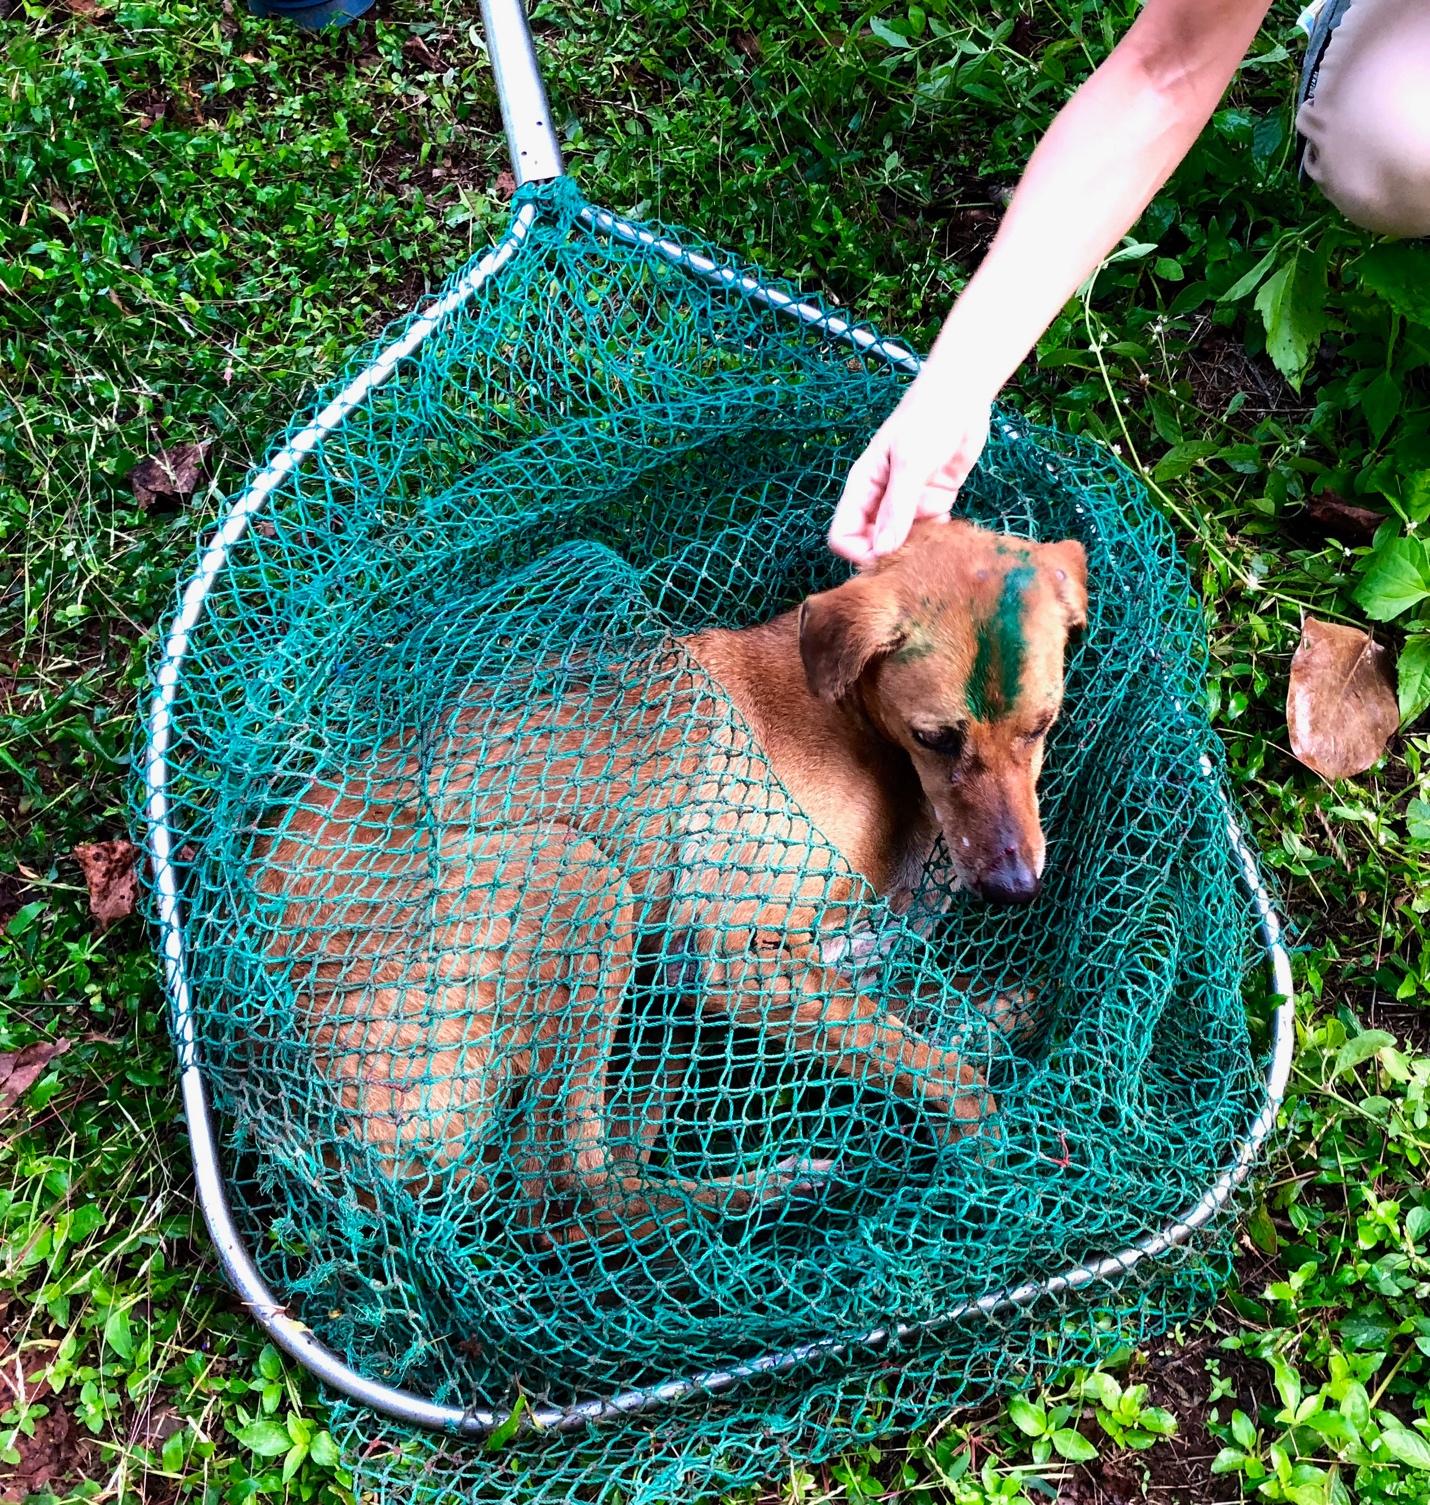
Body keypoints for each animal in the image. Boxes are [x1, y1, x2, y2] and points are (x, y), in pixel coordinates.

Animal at [253, 518, 1087, 1243]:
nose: (1016, 888)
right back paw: (775, 1187)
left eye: (1043, 724)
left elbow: (924, 1021)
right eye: (935, 736)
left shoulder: (817, 959)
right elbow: (945, 1069)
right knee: (570, 1194)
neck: (854, 727)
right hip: (577, 871)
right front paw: (983, 1146)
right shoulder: (733, 954)